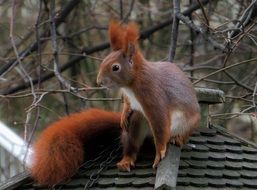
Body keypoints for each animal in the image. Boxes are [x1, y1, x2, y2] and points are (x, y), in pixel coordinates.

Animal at [97, 20, 199, 171]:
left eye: (115, 67)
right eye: (104, 60)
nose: (99, 82)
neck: (132, 84)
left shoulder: (153, 95)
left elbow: (160, 124)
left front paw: (159, 153)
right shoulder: (129, 97)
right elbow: (127, 104)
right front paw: (123, 114)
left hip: (187, 124)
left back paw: (177, 139)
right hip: (137, 122)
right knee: (132, 140)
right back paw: (126, 160)